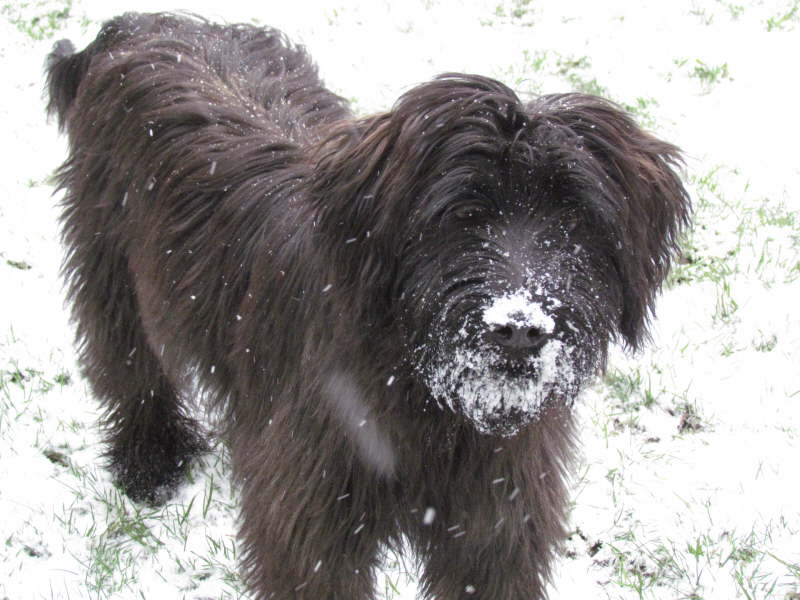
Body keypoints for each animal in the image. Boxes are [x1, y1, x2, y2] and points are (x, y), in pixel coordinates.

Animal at [47, 14, 692, 600]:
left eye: (574, 219)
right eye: (463, 214)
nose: (520, 328)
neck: (426, 400)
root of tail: (132, 25)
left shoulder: (497, 523)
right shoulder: (311, 519)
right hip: (110, 268)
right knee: (130, 367)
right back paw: (148, 461)